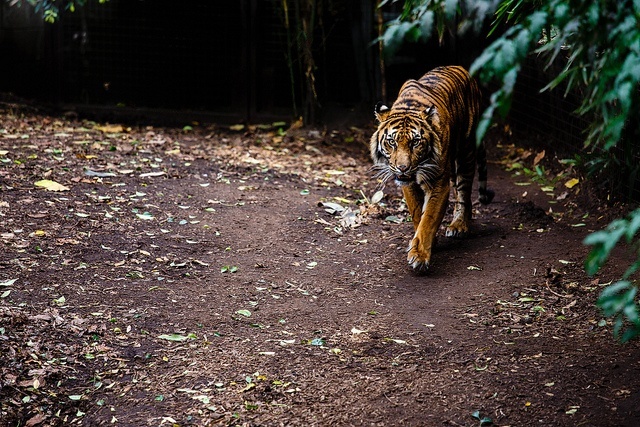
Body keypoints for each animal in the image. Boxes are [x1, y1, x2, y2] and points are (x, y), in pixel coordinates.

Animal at [370, 67, 496, 274]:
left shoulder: (438, 183)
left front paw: (419, 256)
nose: (403, 168)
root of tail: (463, 69)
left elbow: (428, 218)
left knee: (464, 192)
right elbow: (416, 212)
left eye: (415, 142)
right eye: (392, 142)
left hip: (466, 152)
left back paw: (460, 225)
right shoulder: (409, 185)